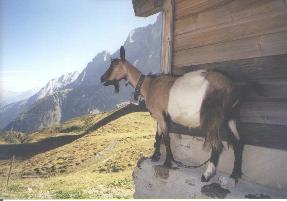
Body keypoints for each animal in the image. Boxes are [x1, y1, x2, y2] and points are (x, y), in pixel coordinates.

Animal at [100, 46, 245, 182]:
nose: (102, 78)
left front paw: (167, 162)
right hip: (229, 118)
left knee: (217, 145)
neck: (149, 86)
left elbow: (166, 138)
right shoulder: (160, 117)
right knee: (238, 143)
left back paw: (207, 175)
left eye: (114, 65)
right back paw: (235, 175)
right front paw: (155, 156)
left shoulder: (160, 115)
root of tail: (233, 88)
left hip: (213, 118)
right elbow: (158, 136)